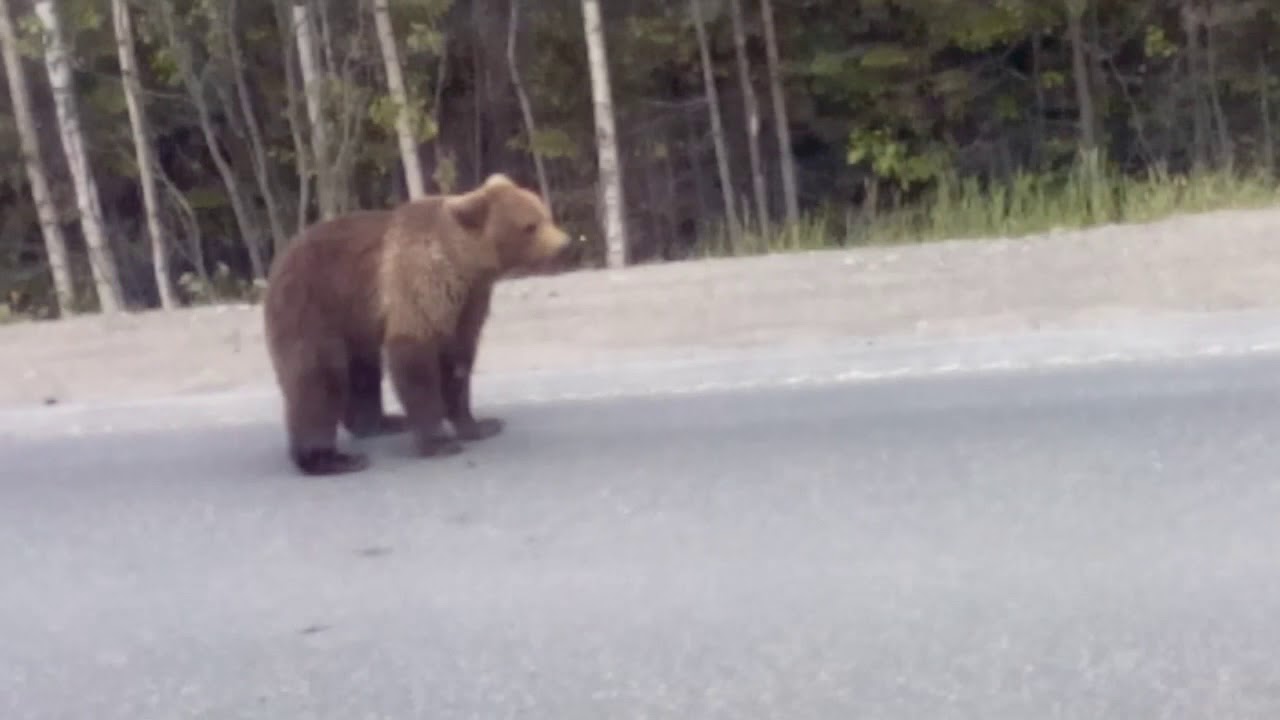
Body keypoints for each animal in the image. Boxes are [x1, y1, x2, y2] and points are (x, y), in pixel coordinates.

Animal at [261, 174, 572, 476]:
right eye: (530, 226)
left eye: (545, 215)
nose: (565, 246)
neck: (463, 263)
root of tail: (280, 260)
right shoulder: (421, 284)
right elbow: (415, 359)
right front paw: (440, 442)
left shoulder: (469, 300)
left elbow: (458, 360)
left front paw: (480, 425)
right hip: (313, 305)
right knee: (318, 377)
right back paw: (332, 459)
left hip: (355, 321)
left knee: (363, 372)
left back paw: (384, 422)